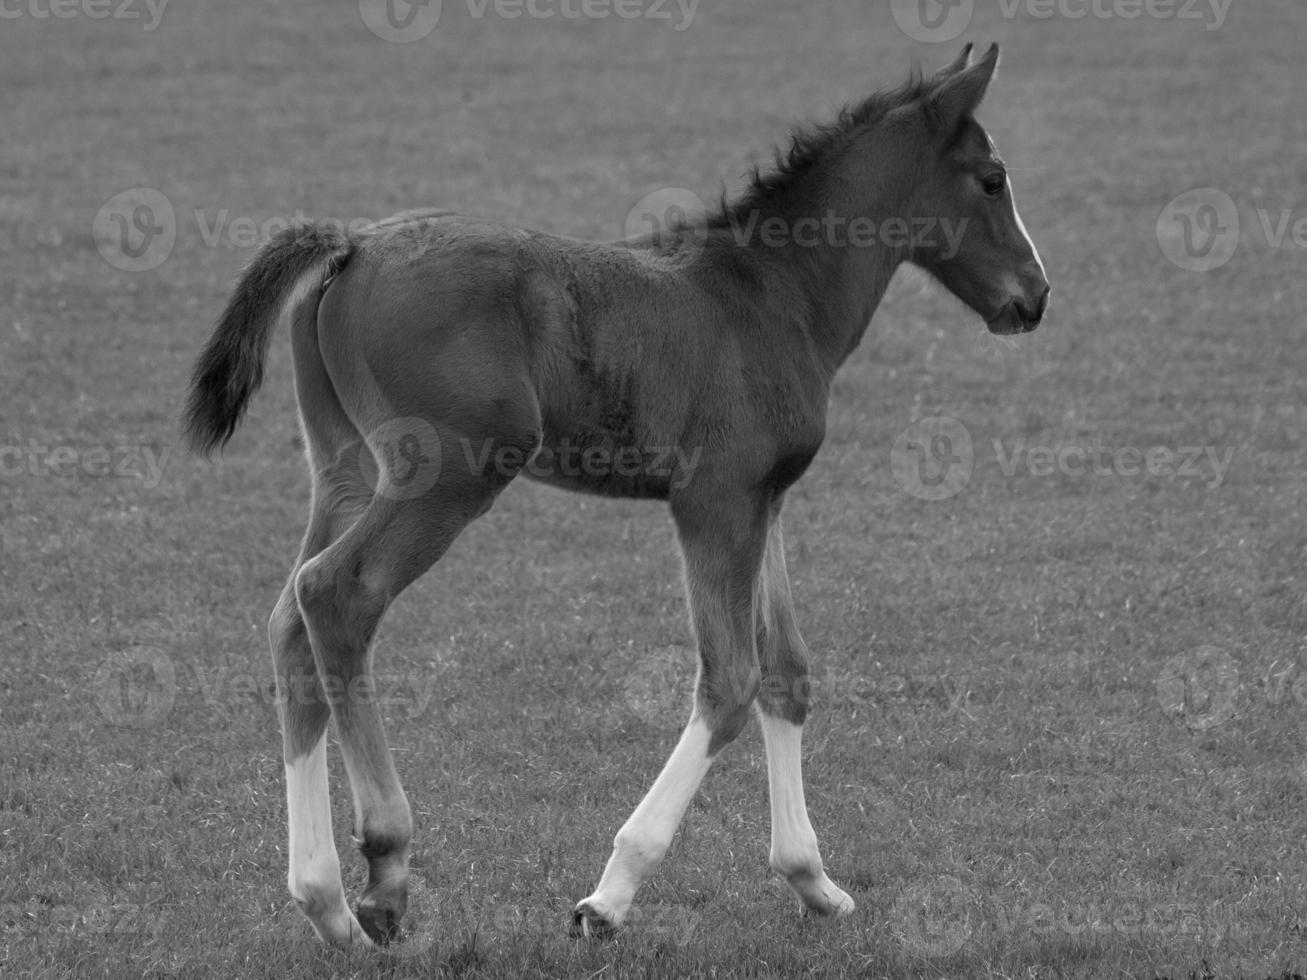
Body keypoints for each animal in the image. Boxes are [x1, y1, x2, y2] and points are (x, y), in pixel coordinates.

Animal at [181, 42, 1050, 946]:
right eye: (992, 179)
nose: (1035, 295)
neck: (769, 292)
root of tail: (353, 244)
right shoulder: (712, 504)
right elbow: (729, 681)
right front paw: (610, 894)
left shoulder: (763, 500)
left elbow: (786, 672)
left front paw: (813, 882)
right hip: (448, 473)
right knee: (337, 593)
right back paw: (383, 868)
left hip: (347, 469)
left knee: (292, 618)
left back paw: (323, 899)